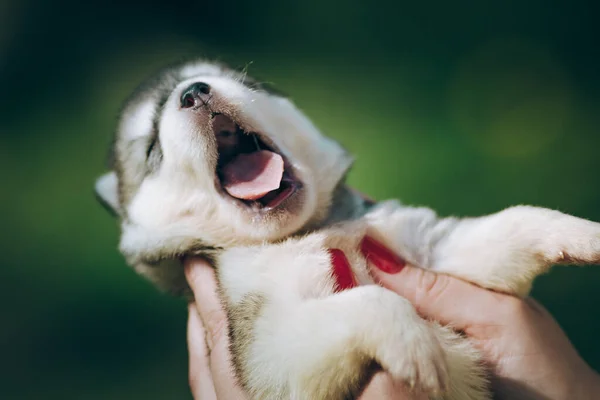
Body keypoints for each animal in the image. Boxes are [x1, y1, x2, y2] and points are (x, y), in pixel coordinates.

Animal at [96, 60, 600, 400]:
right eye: (151, 146)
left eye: (248, 83)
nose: (195, 92)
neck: (306, 231)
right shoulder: (272, 355)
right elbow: (369, 301)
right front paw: (414, 341)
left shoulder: (426, 243)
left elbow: (517, 219)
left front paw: (583, 232)